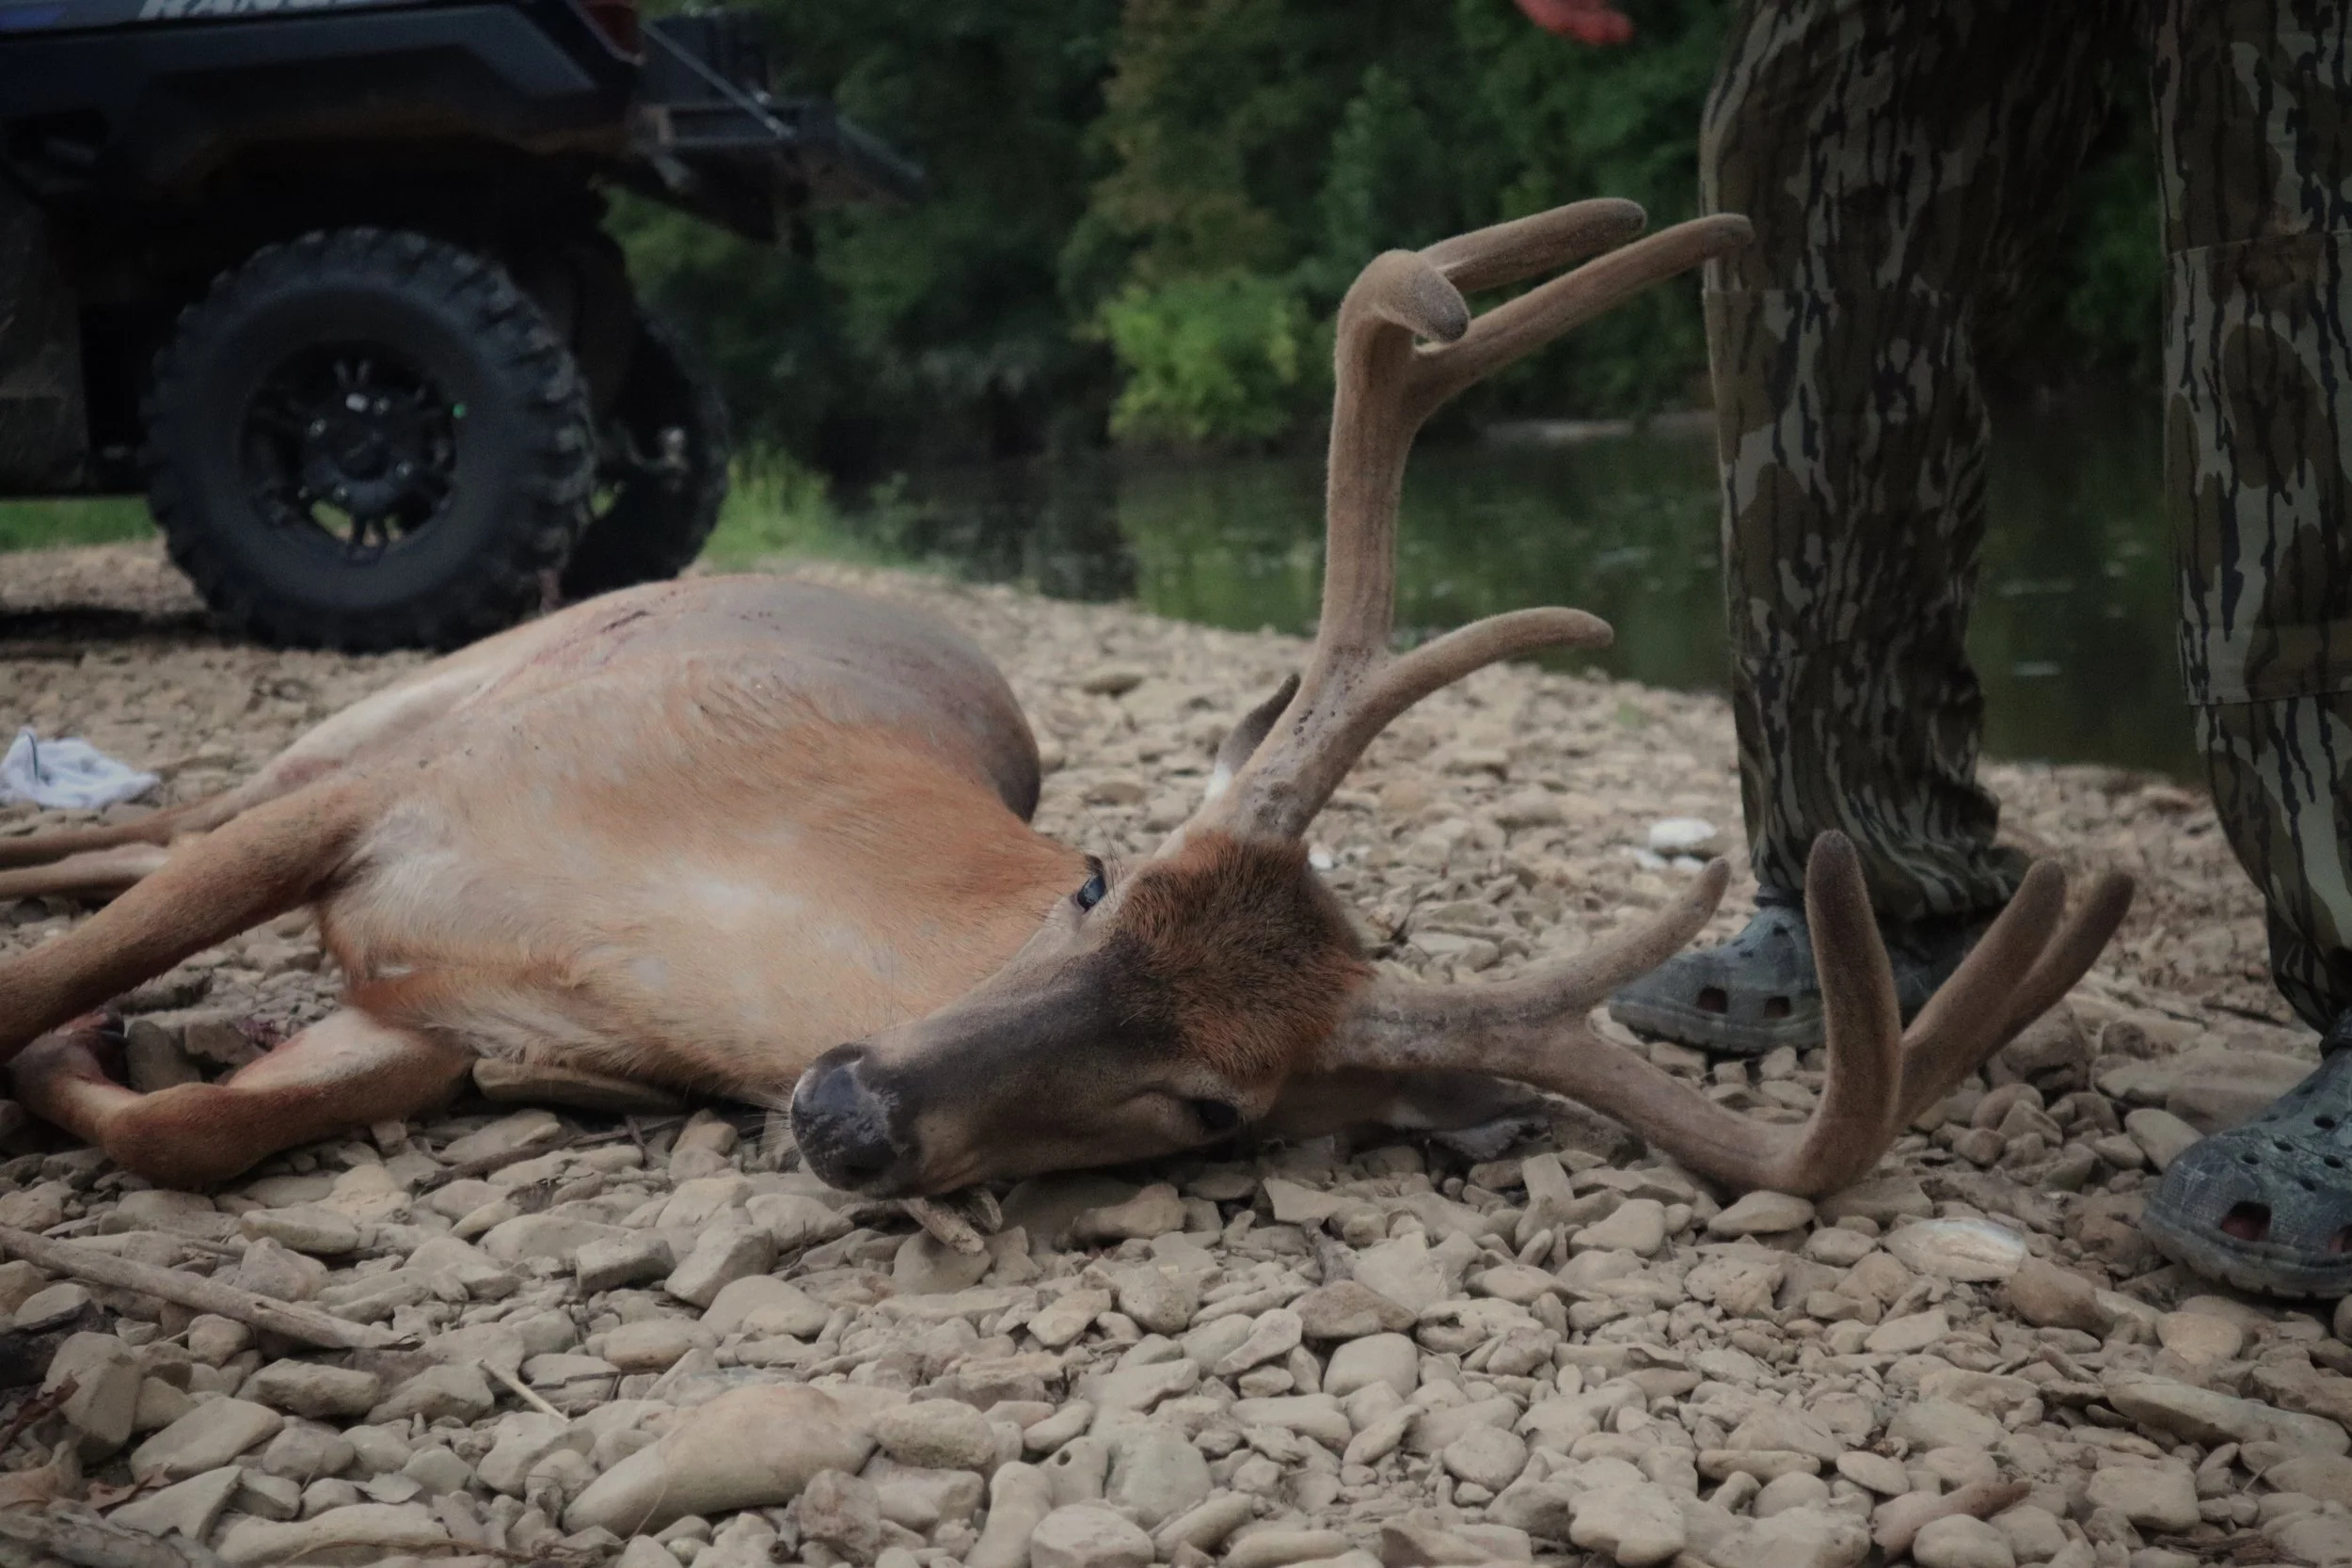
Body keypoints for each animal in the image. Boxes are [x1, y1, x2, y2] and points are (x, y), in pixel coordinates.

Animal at [0, 198, 2133, 1205]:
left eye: (1214, 1104)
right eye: (1099, 885)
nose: (852, 1102)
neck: (635, 935)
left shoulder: (426, 1019)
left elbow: (184, 1131)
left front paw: (121, 1060)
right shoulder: (400, 798)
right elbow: (58, 968)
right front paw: (90, 1018)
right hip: (388, 708)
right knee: (144, 817)